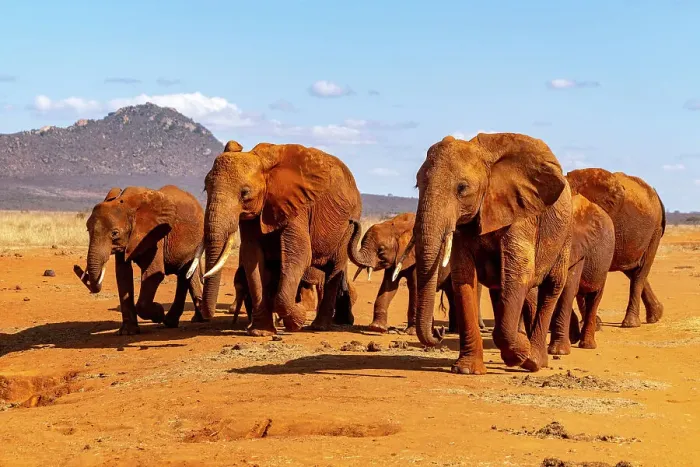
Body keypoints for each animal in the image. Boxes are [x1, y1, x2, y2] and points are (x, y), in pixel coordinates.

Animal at [74, 185, 205, 335]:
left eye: (115, 233)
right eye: (87, 230)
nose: (76, 267)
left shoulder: (155, 233)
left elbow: (154, 274)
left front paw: (159, 312)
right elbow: (123, 274)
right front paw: (128, 332)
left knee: (184, 273)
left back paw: (171, 321)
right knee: (188, 274)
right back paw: (192, 319)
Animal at [201, 140, 362, 336]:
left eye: (245, 193)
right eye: (205, 188)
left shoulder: (297, 207)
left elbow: (300, 254)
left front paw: (297, 319)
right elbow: (252, 256)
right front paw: (261, 332)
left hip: (349, 223)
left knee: (334, 267)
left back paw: (318, 326)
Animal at [349, 212, 486, 334]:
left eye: (381, 250)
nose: (351, 221)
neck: (396, 225)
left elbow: (415, 287)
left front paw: (412, 332)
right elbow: (389, 286)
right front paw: (377, 328)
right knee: (451, 294)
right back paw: (453, 330)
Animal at [411, 133, 572, 375]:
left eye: (462, 188)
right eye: (417, 184)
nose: (439, 332)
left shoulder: (521, 215)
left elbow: (519, 275)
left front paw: (522, 350)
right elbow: (464, 278)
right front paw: (467, 370)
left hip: (566, 236)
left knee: (551, 286)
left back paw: (534, 361)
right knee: (506, 291)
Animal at [566, 168, 666, 328]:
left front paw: (593, 326)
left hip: (654, 231)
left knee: (640, 272)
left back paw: (631, 324)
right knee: (633, 270)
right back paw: (656, 315)